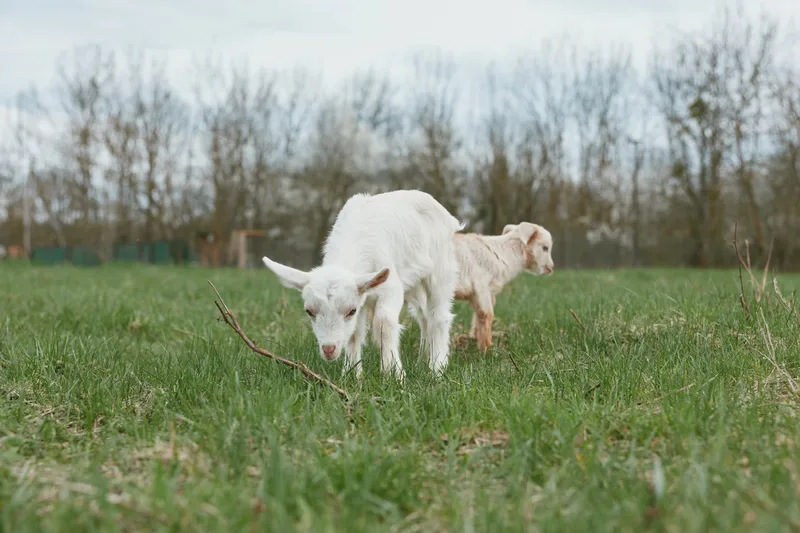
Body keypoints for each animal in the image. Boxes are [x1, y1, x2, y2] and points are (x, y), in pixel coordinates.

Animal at [261, 189, 464, 382]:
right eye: (309, 311)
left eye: (351, 311)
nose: (328, 349)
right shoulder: (363, 297)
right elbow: (354, 333)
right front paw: (351, 374)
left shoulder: (390, 288)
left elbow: (383, 323)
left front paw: (393, 375)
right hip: (413, 282)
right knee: (423, 316)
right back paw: (423, 359)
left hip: (440, 268)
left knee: (438, 315)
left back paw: (436, 368)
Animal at [452, 222, 554, 351]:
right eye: (545, 248)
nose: (551, 268)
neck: (504, 254)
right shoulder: (481, 286)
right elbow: (486, 314)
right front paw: (487, 349)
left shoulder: (483, 293)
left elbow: (478, 314)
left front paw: (475, 338)